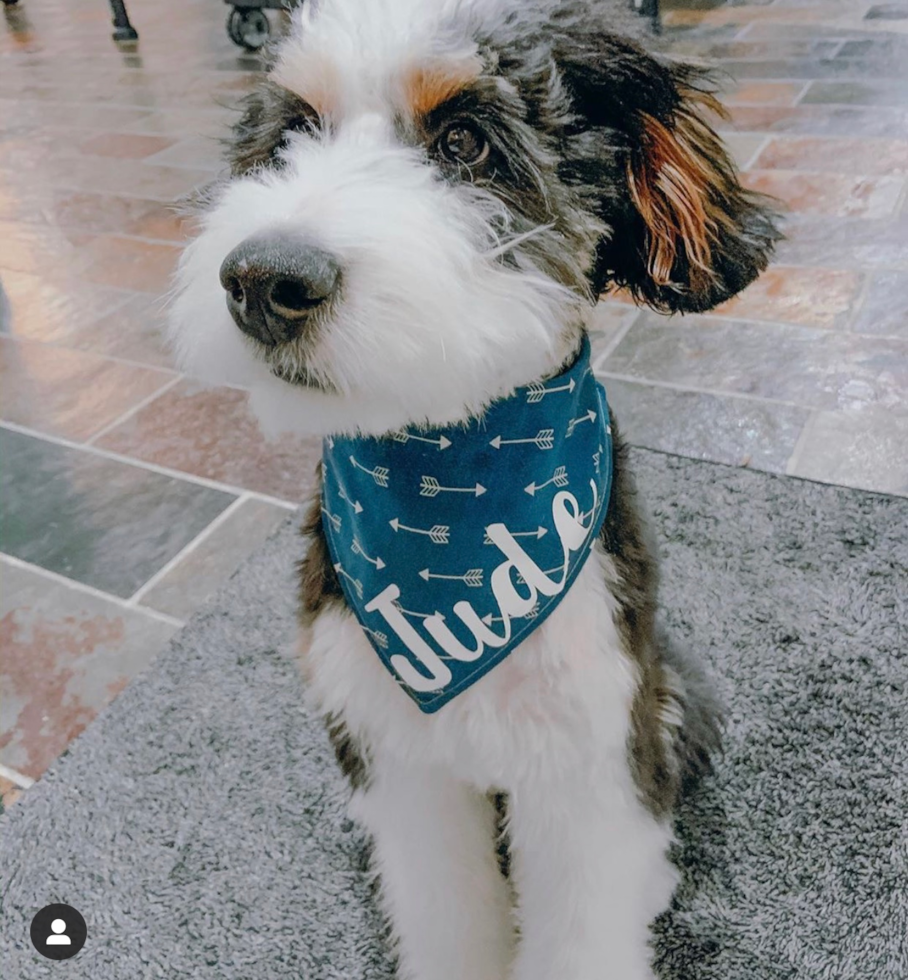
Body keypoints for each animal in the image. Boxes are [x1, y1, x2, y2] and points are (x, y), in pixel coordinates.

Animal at [172, 1, 780, 980]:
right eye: (294, 133)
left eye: (464, 141)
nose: (264, 277)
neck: (453, 478)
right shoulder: (397, 756)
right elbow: (446, 910)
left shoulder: (589, 750)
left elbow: (584, 920)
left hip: (670, 693)